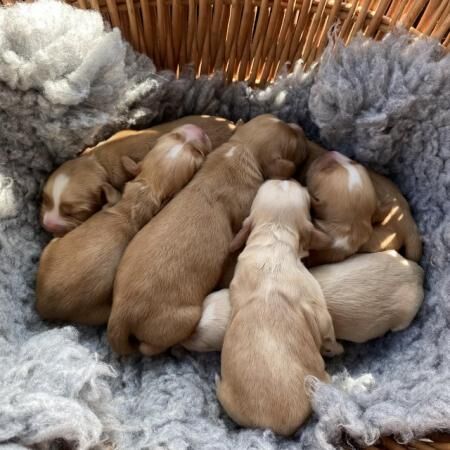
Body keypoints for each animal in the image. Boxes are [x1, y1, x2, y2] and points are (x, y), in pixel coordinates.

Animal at [107, 112, 308, 356]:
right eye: (293, 143)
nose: (300, 126)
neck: (242, 149)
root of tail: (121, 314)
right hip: (182, 319)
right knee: (149, 347)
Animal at [215, 179, 342, 436]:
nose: (292, 178)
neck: (274, 237)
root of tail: (273, 427)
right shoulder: (317, 304)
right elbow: (328, 329)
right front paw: (336, 347)